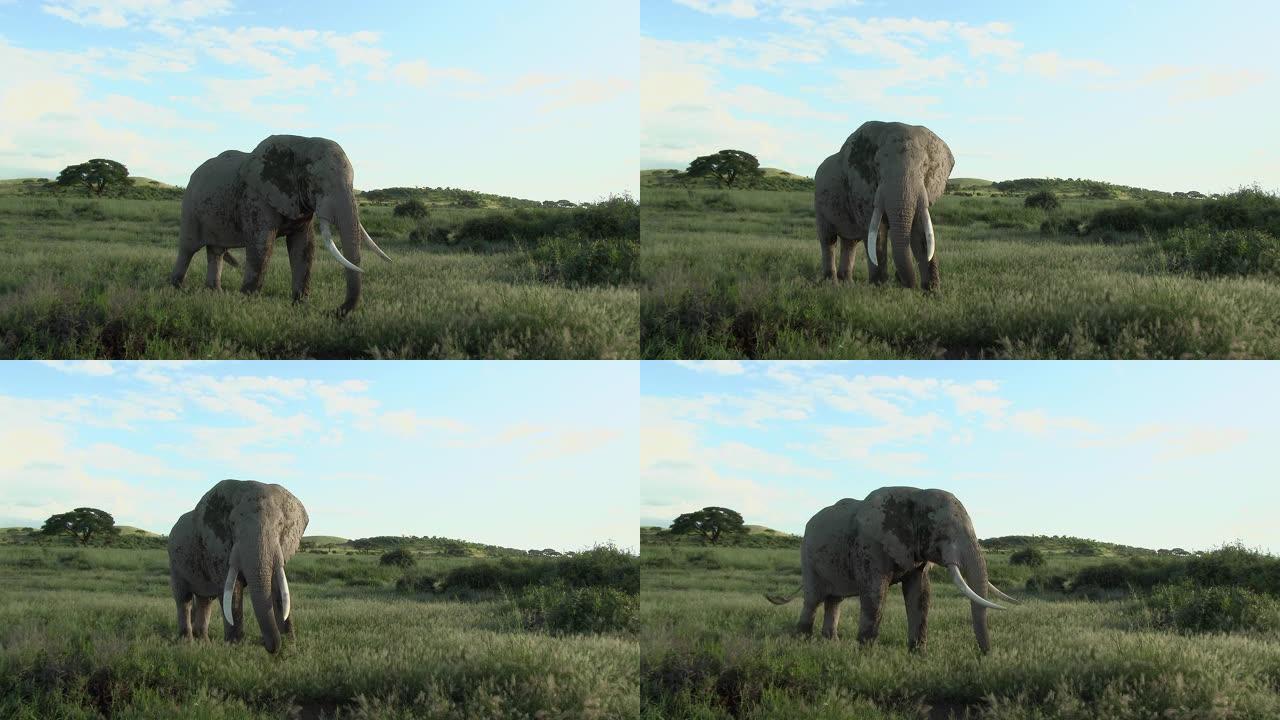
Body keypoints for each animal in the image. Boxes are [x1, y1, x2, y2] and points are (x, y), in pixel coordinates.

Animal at [166, 479, 308, 653]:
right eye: (232, 523)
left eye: (281, 524)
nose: (264, 644)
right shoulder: (218, 548)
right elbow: (232, 590)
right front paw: (236, 648)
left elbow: (279, 589)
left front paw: (290, 648)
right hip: (174, 561)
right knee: (183, 598)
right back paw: (187, 644)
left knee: (205, 600)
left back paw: (205, 644)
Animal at [170, 134, 389, 313]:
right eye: (317, 182)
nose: (333, 312)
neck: (301, 145)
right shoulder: (256, 197)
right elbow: (262, 246)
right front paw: (247, 302)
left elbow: (304, 247)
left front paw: (300, 305)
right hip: (189, 207)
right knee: (188, 249)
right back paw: (177, 289)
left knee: (216, 251)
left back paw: (215, 293)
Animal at [762, 486, 1013, 650]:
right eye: (943, 530)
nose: (986, 655)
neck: (917, 496)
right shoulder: (870, 545)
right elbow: (875, 594)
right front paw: (866, 654)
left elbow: (920, 594)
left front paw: (917, 655)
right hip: (807, 554)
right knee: (813, 598)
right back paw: (802, 642)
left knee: (834, 600)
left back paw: (831, 644)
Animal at [814, 119, 957, 288]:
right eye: (877, 165)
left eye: (924, 166)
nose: (899, 279)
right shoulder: (862, 189)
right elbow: (877, 232)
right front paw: (879, 287)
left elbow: (920, 232)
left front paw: (932, 291)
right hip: (819, 202)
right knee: (828, 239)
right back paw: (832, 283)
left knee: (850, 242)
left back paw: (848, 284)